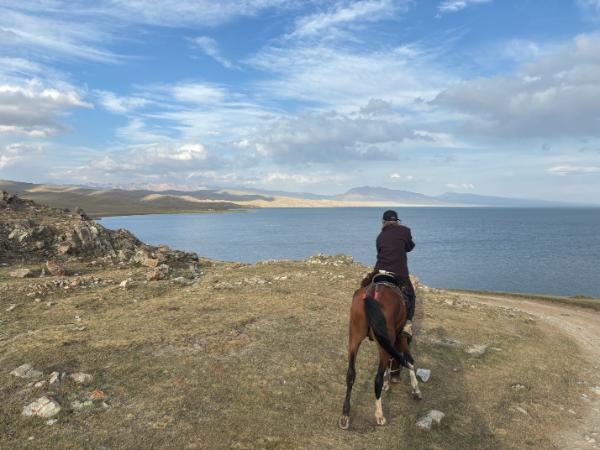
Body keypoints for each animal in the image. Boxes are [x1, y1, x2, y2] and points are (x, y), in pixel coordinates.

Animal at [338, 276, 422, 430]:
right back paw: (379, 415)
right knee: (377, 379)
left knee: (350, 374)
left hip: (354, 338)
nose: (396, 379)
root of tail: (372, 294)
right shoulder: (400, 338)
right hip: (384, 343)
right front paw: (416, 390)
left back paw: (345, 415)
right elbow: (408, 360)